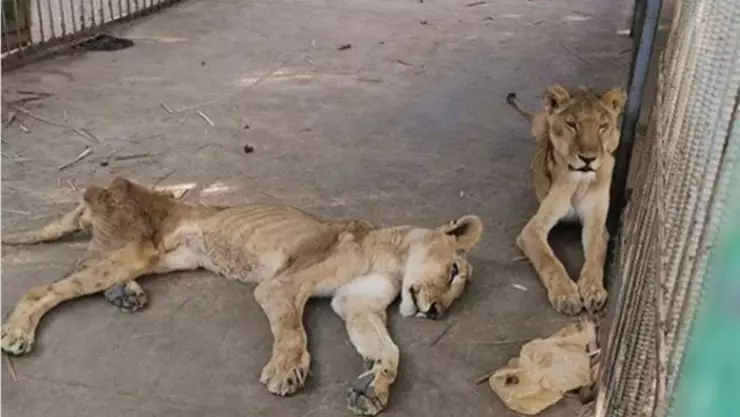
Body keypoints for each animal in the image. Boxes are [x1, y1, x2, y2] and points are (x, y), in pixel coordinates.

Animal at [0, 177, 483, 416]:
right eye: (454, 271)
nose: (436, 313)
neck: (392, 259)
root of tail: (100, 189)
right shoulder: (281, 285)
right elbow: (293, 331)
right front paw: (287, 372)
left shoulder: (355, 306)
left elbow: (389, 351)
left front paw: (372, 391)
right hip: (132, 247)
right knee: (46, 287)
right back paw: (17, 335)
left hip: (161, 258)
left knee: (86, 271)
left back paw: (125, 294)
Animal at [505, 85, 626, 316]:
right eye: (572, 124)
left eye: (602, 126)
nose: (588, 159)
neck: (579, 182)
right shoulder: (532, 230)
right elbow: (549, 260)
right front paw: (566, 295)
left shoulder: (597, 225)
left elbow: (595, 255)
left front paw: (593, 290)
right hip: (540, 123)